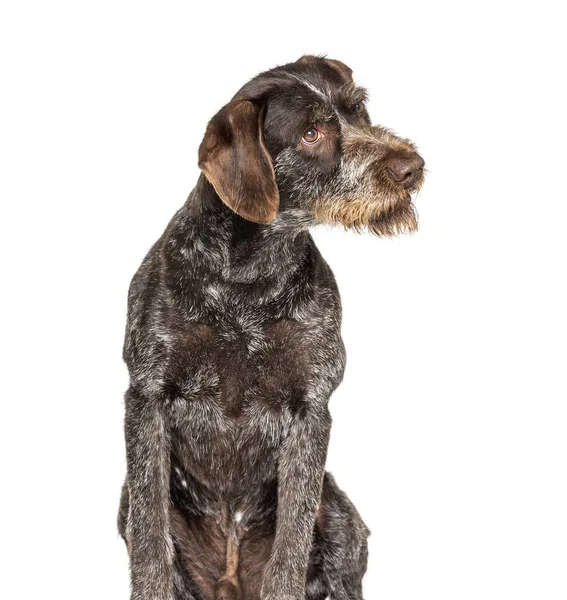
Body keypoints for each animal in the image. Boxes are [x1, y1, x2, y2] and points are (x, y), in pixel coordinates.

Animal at [117, 52, 424, 600]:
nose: (411, 167)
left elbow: (291, 547)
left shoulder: (310, 409)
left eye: (359, 111)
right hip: (126, 498)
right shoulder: (147, 397)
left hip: (340, 516)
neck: (248, 277)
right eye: (311, 134)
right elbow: (151, 545)